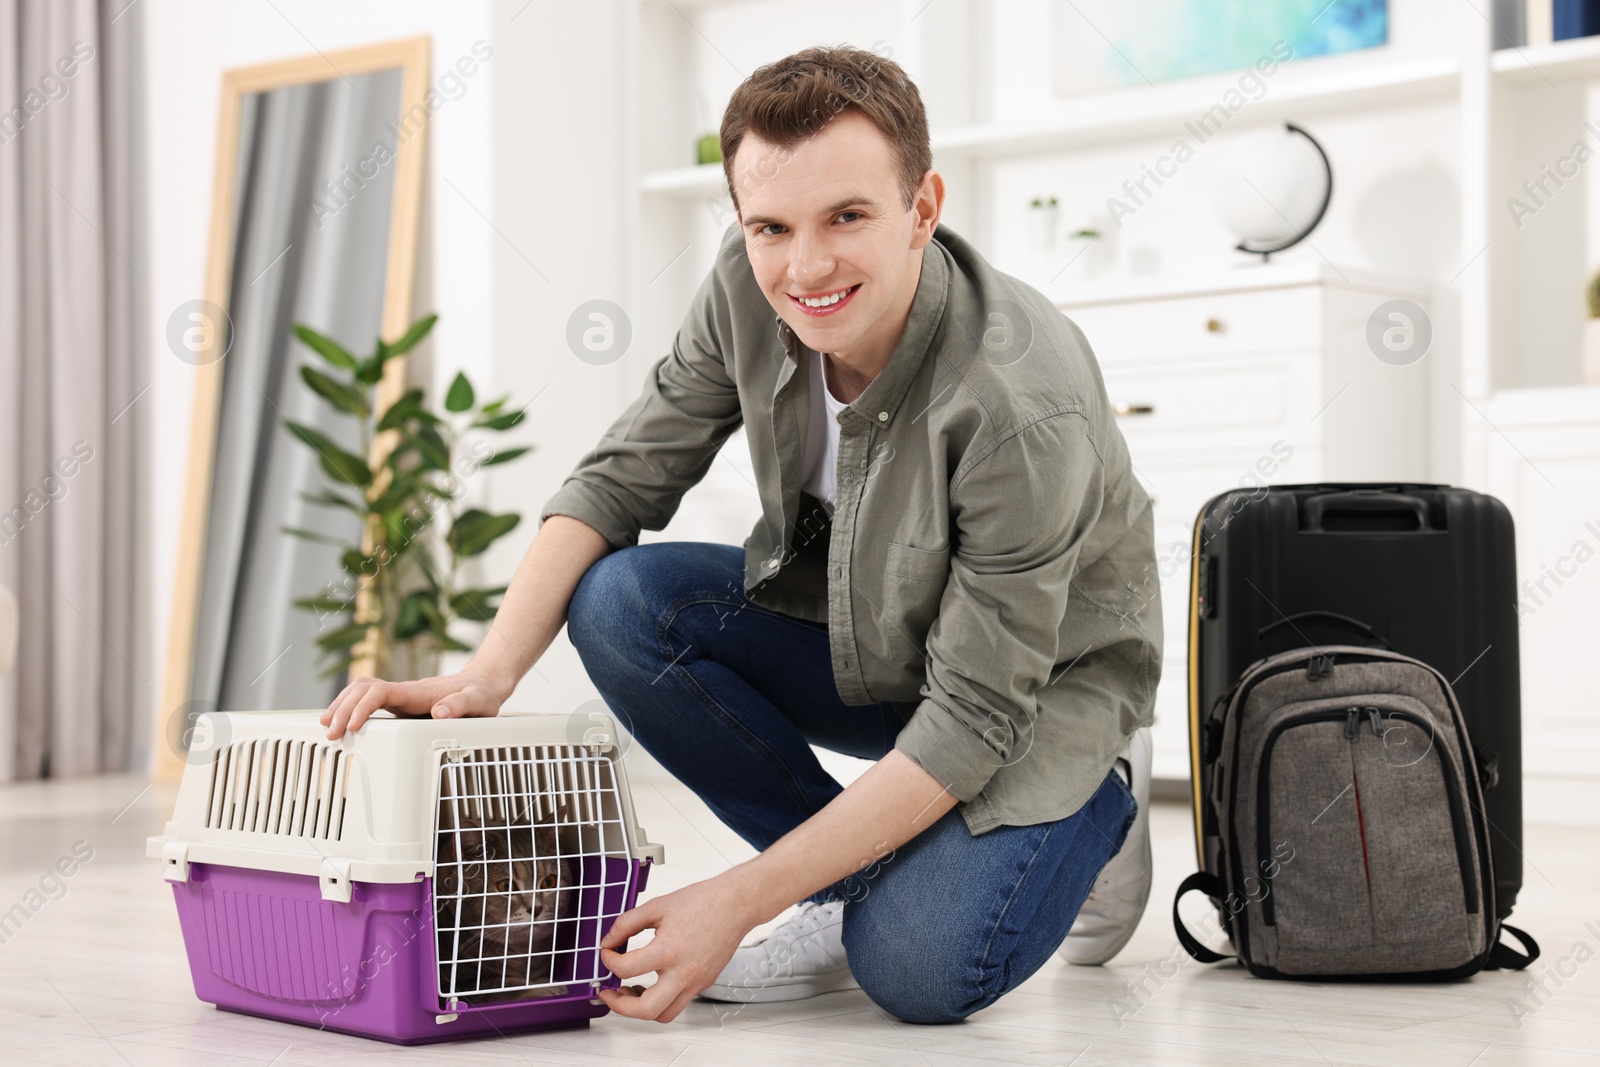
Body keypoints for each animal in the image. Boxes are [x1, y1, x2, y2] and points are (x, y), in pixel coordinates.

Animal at [435, 806, 579, 1004]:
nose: (536, 908)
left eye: (549, 882)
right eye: (505, 886)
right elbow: (498, 986)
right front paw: (544, 987)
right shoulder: (454, 986)